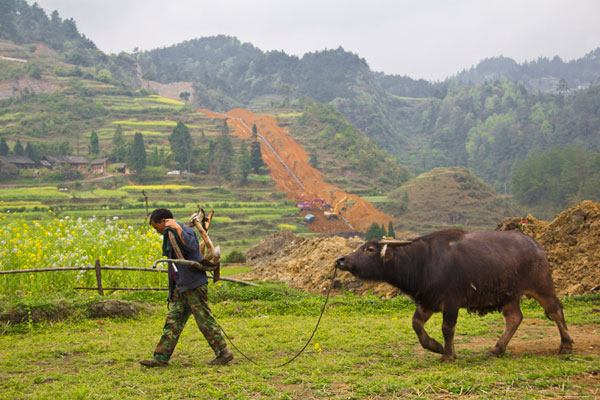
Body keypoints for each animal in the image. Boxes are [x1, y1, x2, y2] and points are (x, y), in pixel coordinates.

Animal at [336, 228, 576, 362]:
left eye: (369, 249)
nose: (341, 260)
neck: (423, 262)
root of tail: (536, 246)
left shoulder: (451, 302)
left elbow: (447, 328)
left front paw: (448, 354)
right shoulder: (427, 302)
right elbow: (416, 325)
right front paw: (435, 346)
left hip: (542, 285)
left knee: (555, 310)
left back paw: (566, 345)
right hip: (510, 296)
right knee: (514, 318)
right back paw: (497, 349)